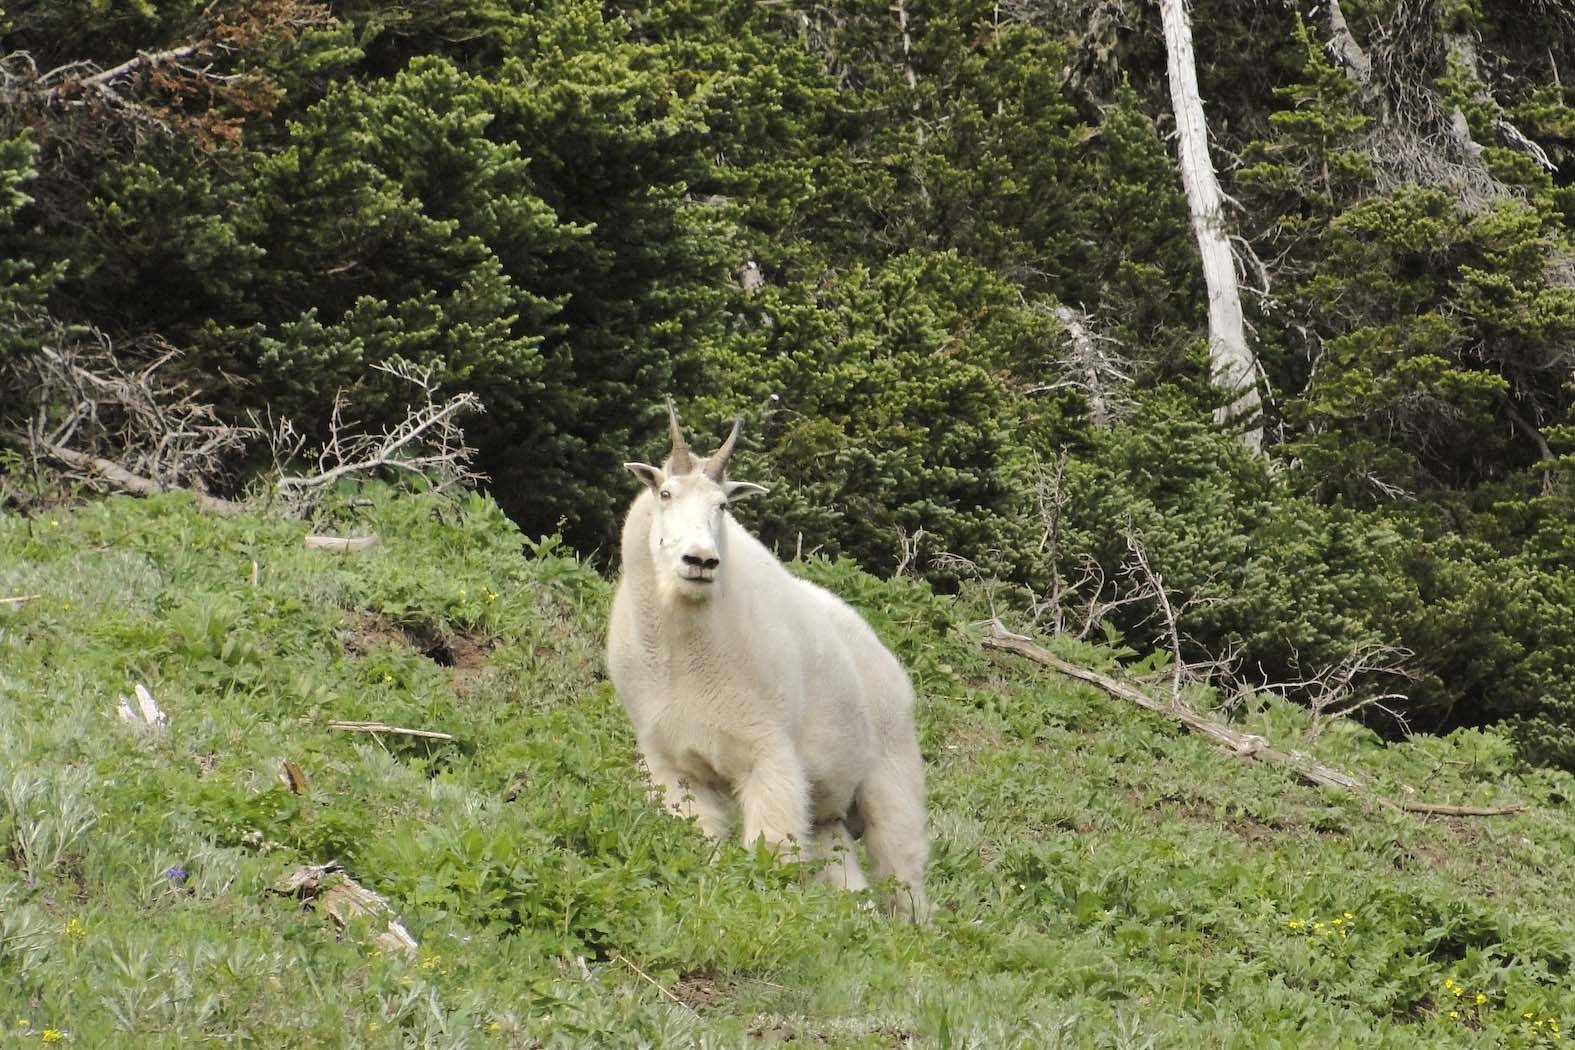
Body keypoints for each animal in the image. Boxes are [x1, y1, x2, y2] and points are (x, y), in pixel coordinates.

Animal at [606, 401, 930, 922]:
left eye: (722, 505)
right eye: (666, 493)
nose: (700, 561)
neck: (683, 652)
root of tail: (891, 667)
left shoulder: (769, 754)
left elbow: (773, 848)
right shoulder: (674, 765)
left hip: (891, 776)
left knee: (904, 869)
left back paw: (912, 929)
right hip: (829, 812)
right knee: (842, 867)